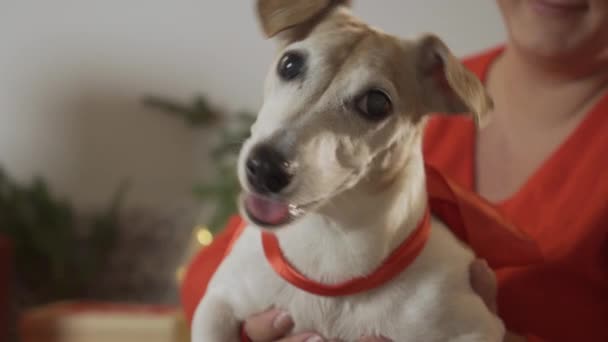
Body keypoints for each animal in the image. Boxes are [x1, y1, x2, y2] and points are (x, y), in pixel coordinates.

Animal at [191, 1, 504, 340]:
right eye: (290, 63)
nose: (264, 168)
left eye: (376, 103)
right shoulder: (219, 301)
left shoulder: (473, 327)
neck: (330, 245)